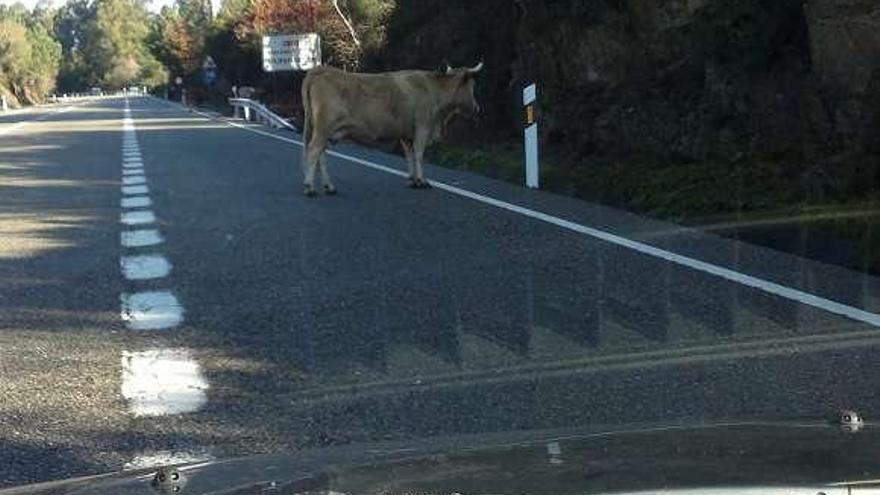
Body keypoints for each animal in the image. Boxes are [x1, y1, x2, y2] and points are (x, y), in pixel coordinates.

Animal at [300, 64, 482, 198]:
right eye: (473, 86)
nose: (476, 108)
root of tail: (321, 69)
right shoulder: (422, 127)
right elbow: (419, 154)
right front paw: (422, 181)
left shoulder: (406, 134)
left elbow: (409, 155)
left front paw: (412, 180)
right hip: (323, 128)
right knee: (313, 151)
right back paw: (309, 187)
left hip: (323, 131)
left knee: (321, 155)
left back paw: (329, 187)